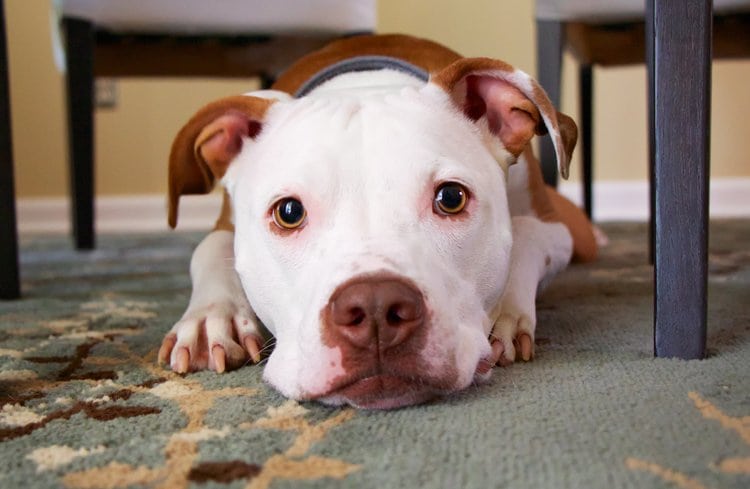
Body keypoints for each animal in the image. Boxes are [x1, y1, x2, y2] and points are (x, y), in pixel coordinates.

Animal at [159, 33, 600, 408]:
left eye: (451, 198)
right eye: (288, 212)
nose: (374, 308)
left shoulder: (555, 229)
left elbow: (525, 233)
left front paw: (505, 314)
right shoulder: (225, 225)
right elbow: (209, 247)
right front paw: (212, 319)